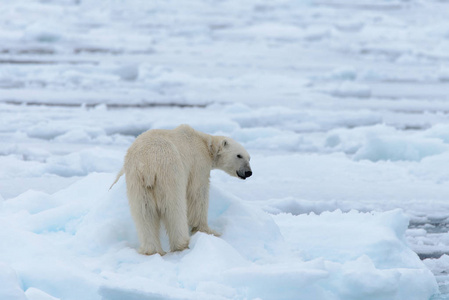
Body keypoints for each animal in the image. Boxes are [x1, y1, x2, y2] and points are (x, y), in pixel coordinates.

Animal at [111, 124, 252, 255]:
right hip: (170, 174)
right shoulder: (198, 163)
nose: (248, 172)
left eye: (249, 157)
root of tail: (147, 166)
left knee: (144, 214)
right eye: (239, 155)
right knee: (175, 209)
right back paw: (182, 244)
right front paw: (209, 231)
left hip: (138, 184)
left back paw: (152, 250)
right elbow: (197, 194)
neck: (205, 143)